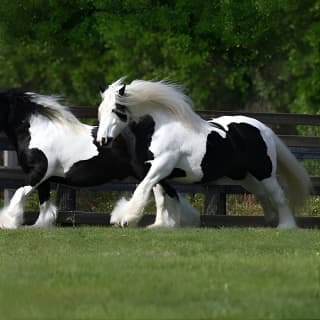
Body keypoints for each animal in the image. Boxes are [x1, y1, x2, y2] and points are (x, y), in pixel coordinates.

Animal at [0, 89, 200, 230]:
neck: (38, 132)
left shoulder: (39, 172)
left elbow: (19, 193)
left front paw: (7, 222)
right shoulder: (43, 178)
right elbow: (44, 204)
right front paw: (39, 225)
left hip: (150, 171)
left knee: (162, 193)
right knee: (167, 193)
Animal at [96, 78, 312, 228]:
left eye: (116, 110)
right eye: (101, 110)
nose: (102, 140)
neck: (159, 129)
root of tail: (263, 128)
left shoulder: (162, 165)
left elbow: (143, 189)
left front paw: (125, 219)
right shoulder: (156, 172)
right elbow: (162, 197)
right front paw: (162, 225)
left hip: (264, 172)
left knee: (278, 195)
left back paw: (286, 226)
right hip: (244, 176)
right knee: (262, 194)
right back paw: (270, 220)